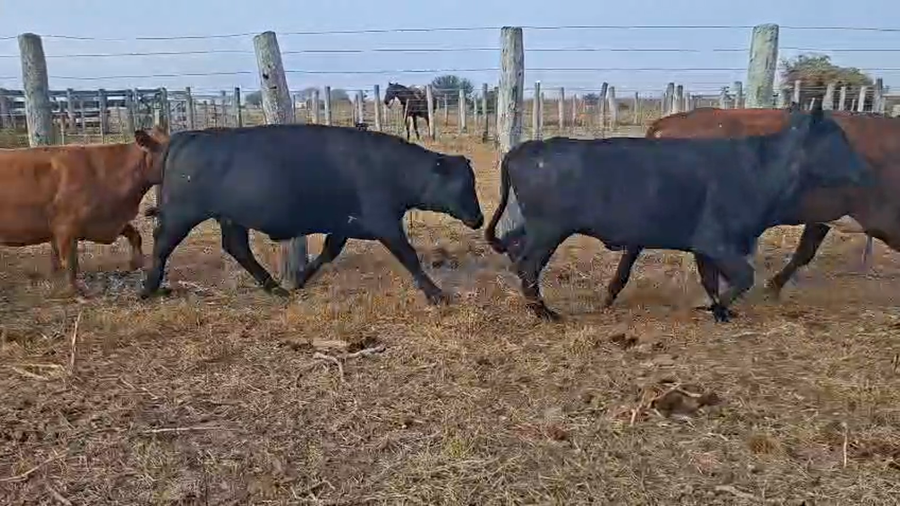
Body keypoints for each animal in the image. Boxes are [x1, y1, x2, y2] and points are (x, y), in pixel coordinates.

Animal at [0, 127, 169, 296]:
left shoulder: (105, 221)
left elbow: (135, 235)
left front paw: (137, 263)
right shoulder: (65, 227)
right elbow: (69, 261)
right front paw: (75, 289)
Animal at [139, 123, 484, 304]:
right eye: (463, 185)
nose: (479, 218)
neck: (392, 167)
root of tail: (187, 136)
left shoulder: (344, 226)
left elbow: (327, 254)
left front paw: (301, 279)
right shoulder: (385, 223)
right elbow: (410, 256)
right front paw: (436, 293)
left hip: (230, 218)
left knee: (237, 248)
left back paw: (275, 287)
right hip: (182, 214)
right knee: (162, 243)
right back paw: (148, 287)